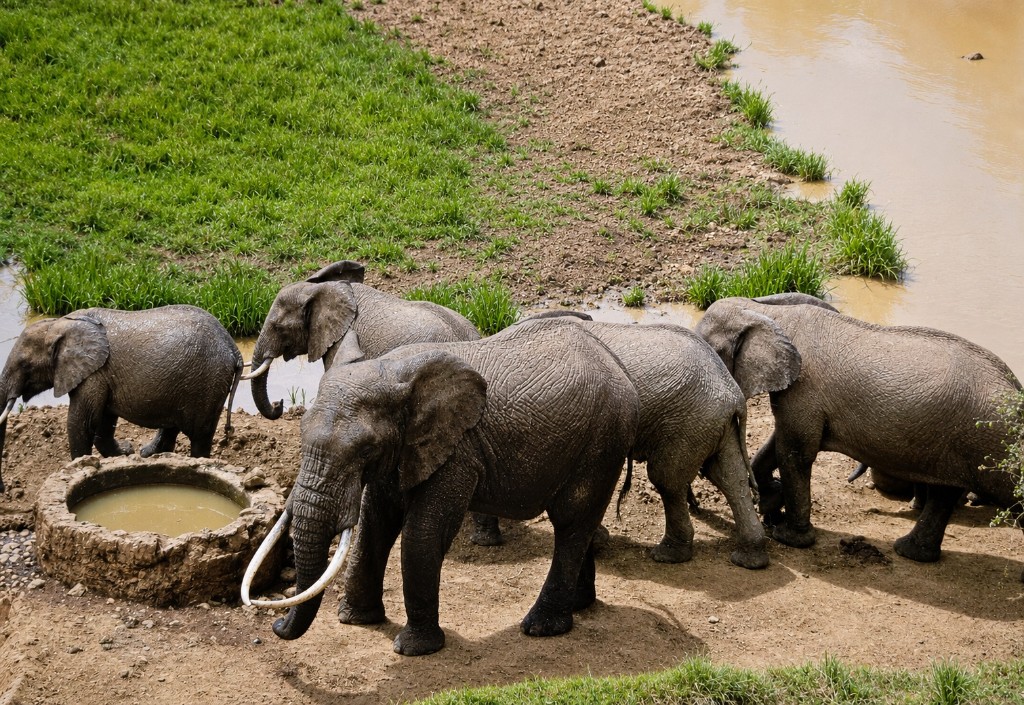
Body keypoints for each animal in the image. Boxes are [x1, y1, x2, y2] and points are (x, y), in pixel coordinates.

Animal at [0, 305, 243, 492]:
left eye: (24, 365)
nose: (3, 489)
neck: (62, 323)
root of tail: (234, 349)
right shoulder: (102, 375)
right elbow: (103, 422)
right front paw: (124, 454)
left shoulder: (93, 374)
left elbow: (82, 422)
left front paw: (80, 466)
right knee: (172, 427)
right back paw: (147, 455)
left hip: (207, 383)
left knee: (200, 438)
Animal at [241, 317, 639, 655]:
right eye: (301, 433)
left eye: (365, 449)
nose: (276, 625)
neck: (394, 374)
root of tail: (618, 366)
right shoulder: (403, 452)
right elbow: (375, 523)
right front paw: (354, 620)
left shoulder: (458, 450)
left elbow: (423, 532)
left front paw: (414, 649)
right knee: (580, 524)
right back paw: (580, 606)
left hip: (603, 441)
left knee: (571, 521)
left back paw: (542, 627)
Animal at [471, 319, 769, 570]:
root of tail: (732, 392)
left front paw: (595, 542)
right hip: (711, 422)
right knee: (729, 476)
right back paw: (750, 559)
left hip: (690, 421)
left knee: (668, 479)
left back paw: (667, 556)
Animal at [695, 294, 1023, 567]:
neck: (767, 313)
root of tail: (1015, 388)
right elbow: (780, 443)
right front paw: (771, 502)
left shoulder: (804, 387)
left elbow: (795, 451)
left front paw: (788, 536)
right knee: (944, 493)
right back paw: (910, 553)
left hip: (992, 440)